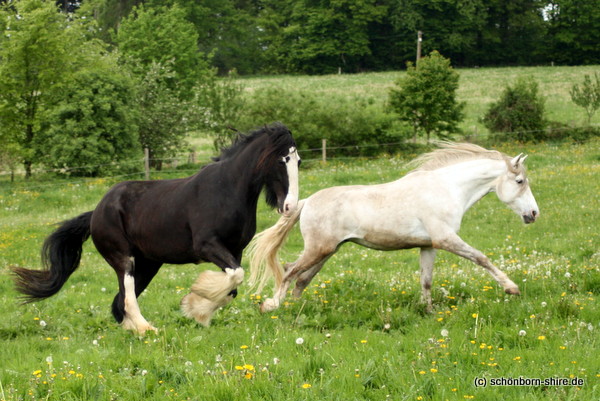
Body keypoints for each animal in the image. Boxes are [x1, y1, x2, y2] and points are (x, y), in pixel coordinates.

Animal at [9, 123, 300, 332]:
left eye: (297, 161)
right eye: (281, 160)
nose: (290, 206)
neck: (226, 189)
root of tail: (96, 212)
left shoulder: (234, 250)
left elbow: (232, 286)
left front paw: (198, 310)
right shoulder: (207, 246)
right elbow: (235, 277)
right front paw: (194, 304)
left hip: (148, 264)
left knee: (119, 303)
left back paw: (133, 329)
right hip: (123, 259)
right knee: (127, 297)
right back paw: (146, 329)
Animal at [248, 141, 540, 312]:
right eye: (520, 181)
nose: (534, 213)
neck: (447, 189)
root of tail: (307, 202)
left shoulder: (429, 245)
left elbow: (426, 280)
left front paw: (428, 312)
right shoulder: (446, 239)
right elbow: (482, 258)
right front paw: (511, 288)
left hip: (327, 251)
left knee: (301, 279)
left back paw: (294, 309)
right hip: (319, 249)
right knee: (290, 272)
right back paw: (271, 306)